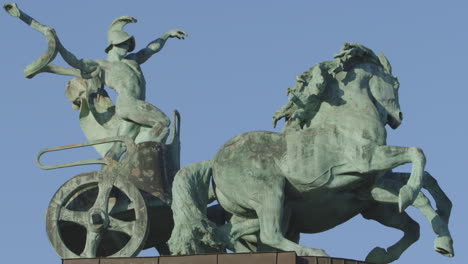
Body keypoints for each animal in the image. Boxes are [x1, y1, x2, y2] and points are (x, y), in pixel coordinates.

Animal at [167, 42, 454, 262]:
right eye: (395, 82)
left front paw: (442, 233)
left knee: (230, 232)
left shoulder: (368, 186)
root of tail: (214, 161)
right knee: (267, 233)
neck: (348, 118)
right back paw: (312, 250)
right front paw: (409, 196)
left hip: (270, 207)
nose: (398, 117)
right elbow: (417, 153)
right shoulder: (369, 160)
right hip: (270, 193)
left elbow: (422, 186)